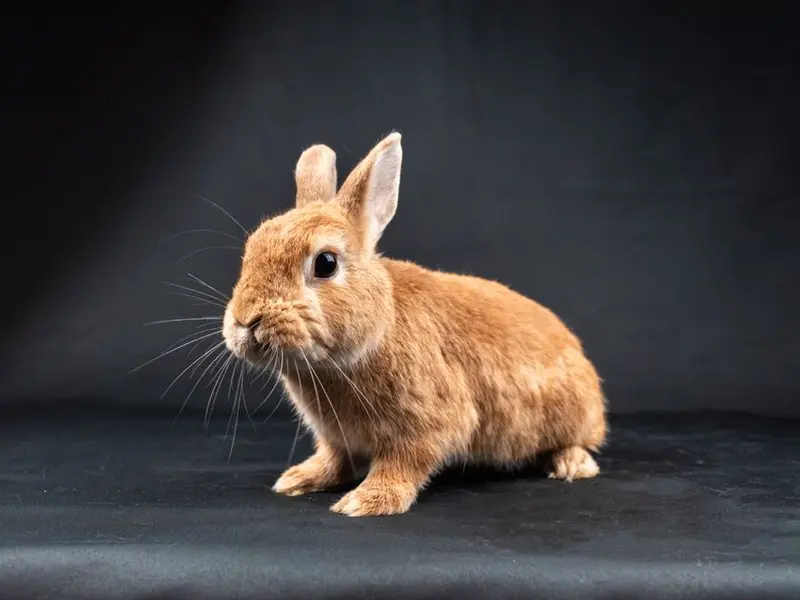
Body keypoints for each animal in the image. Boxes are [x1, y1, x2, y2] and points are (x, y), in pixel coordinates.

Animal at [222, 132, 608, 517]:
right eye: (251, 248)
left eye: (326, 263)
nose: (245, 319)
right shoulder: (336, 437)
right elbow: (334, 458)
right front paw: (299, 479)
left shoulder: (427, 425)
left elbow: (403, 463)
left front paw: (366, 501)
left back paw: (572, 464)